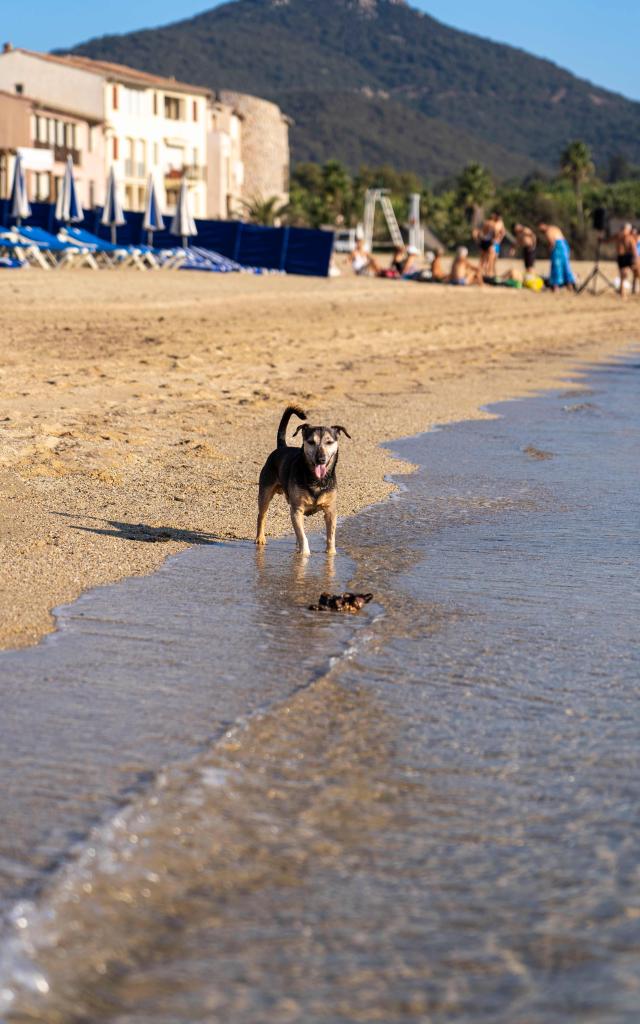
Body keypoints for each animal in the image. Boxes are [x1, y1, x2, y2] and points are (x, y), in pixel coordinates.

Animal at [254, 403, 352, 557]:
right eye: (311, 442)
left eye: (329, 442)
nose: (321, 459)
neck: (316, 480)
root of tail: (281, 447)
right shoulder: (297, 510)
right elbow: (302, 535)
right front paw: (305, 553)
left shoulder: (330, 510)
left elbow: (330, 535)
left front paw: (331, 553)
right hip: (265, 491)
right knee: (261, 515)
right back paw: (260, 538)